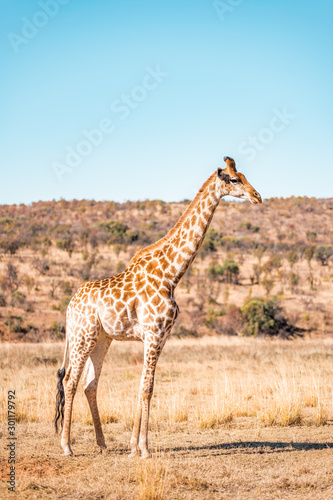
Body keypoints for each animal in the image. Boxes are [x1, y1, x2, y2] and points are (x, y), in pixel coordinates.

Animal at [55, 156, 262, 458]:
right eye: (235, 180)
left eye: (245, 176)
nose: (257, 196)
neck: (171, 274)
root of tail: (70, 307)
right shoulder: (153, 334)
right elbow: (147, 387)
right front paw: (144, 448)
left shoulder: (162, 336)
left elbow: (145, 385)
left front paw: (133, 446)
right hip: (83, 337)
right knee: (70, 381)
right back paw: (67, 447)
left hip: (102, 339)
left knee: (89, 385)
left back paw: (102, 444)